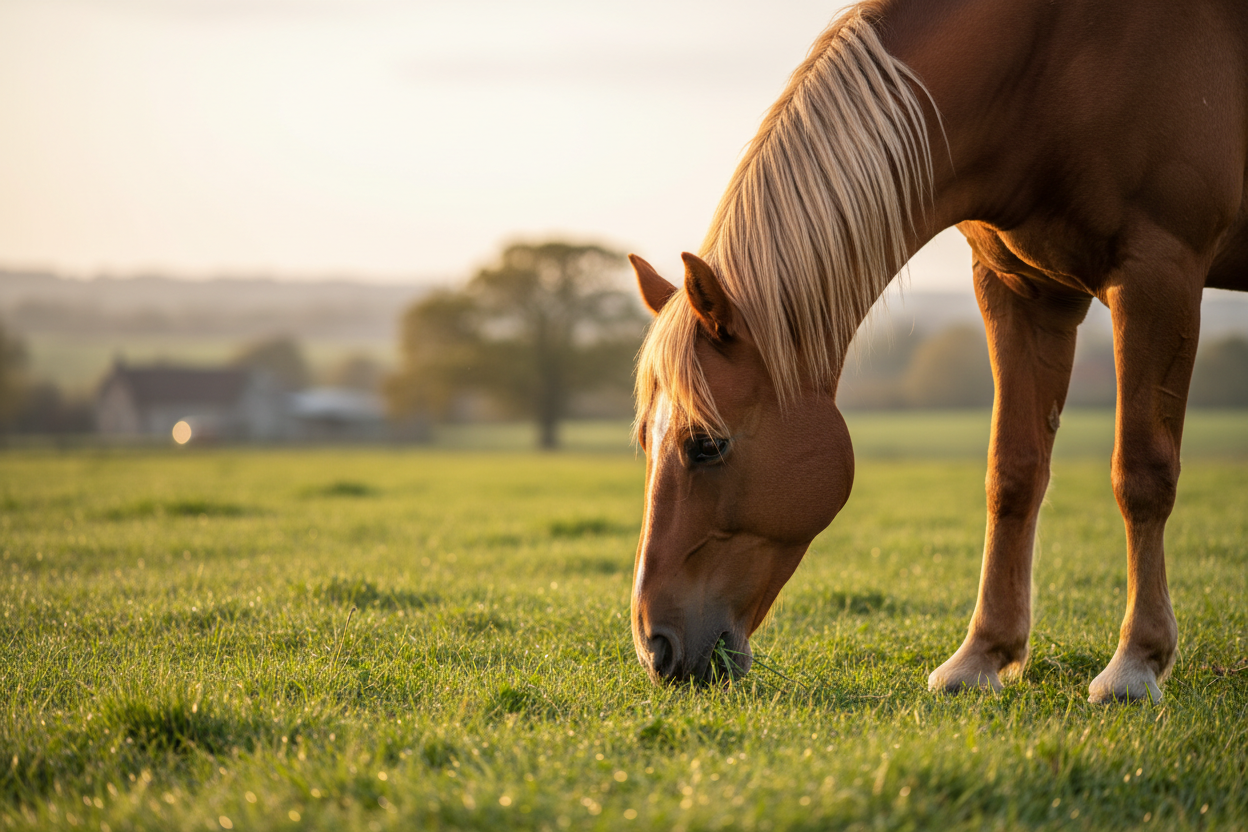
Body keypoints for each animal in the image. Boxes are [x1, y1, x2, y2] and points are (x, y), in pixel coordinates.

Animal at [627, 0, 1248, 703]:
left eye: (706, 444)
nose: (654, 647)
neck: (1052, 65)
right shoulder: (1019, 287)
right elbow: (1013, 472)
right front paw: (981, 656)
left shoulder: (1159, 272)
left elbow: (1141, 473)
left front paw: (1136, 664)